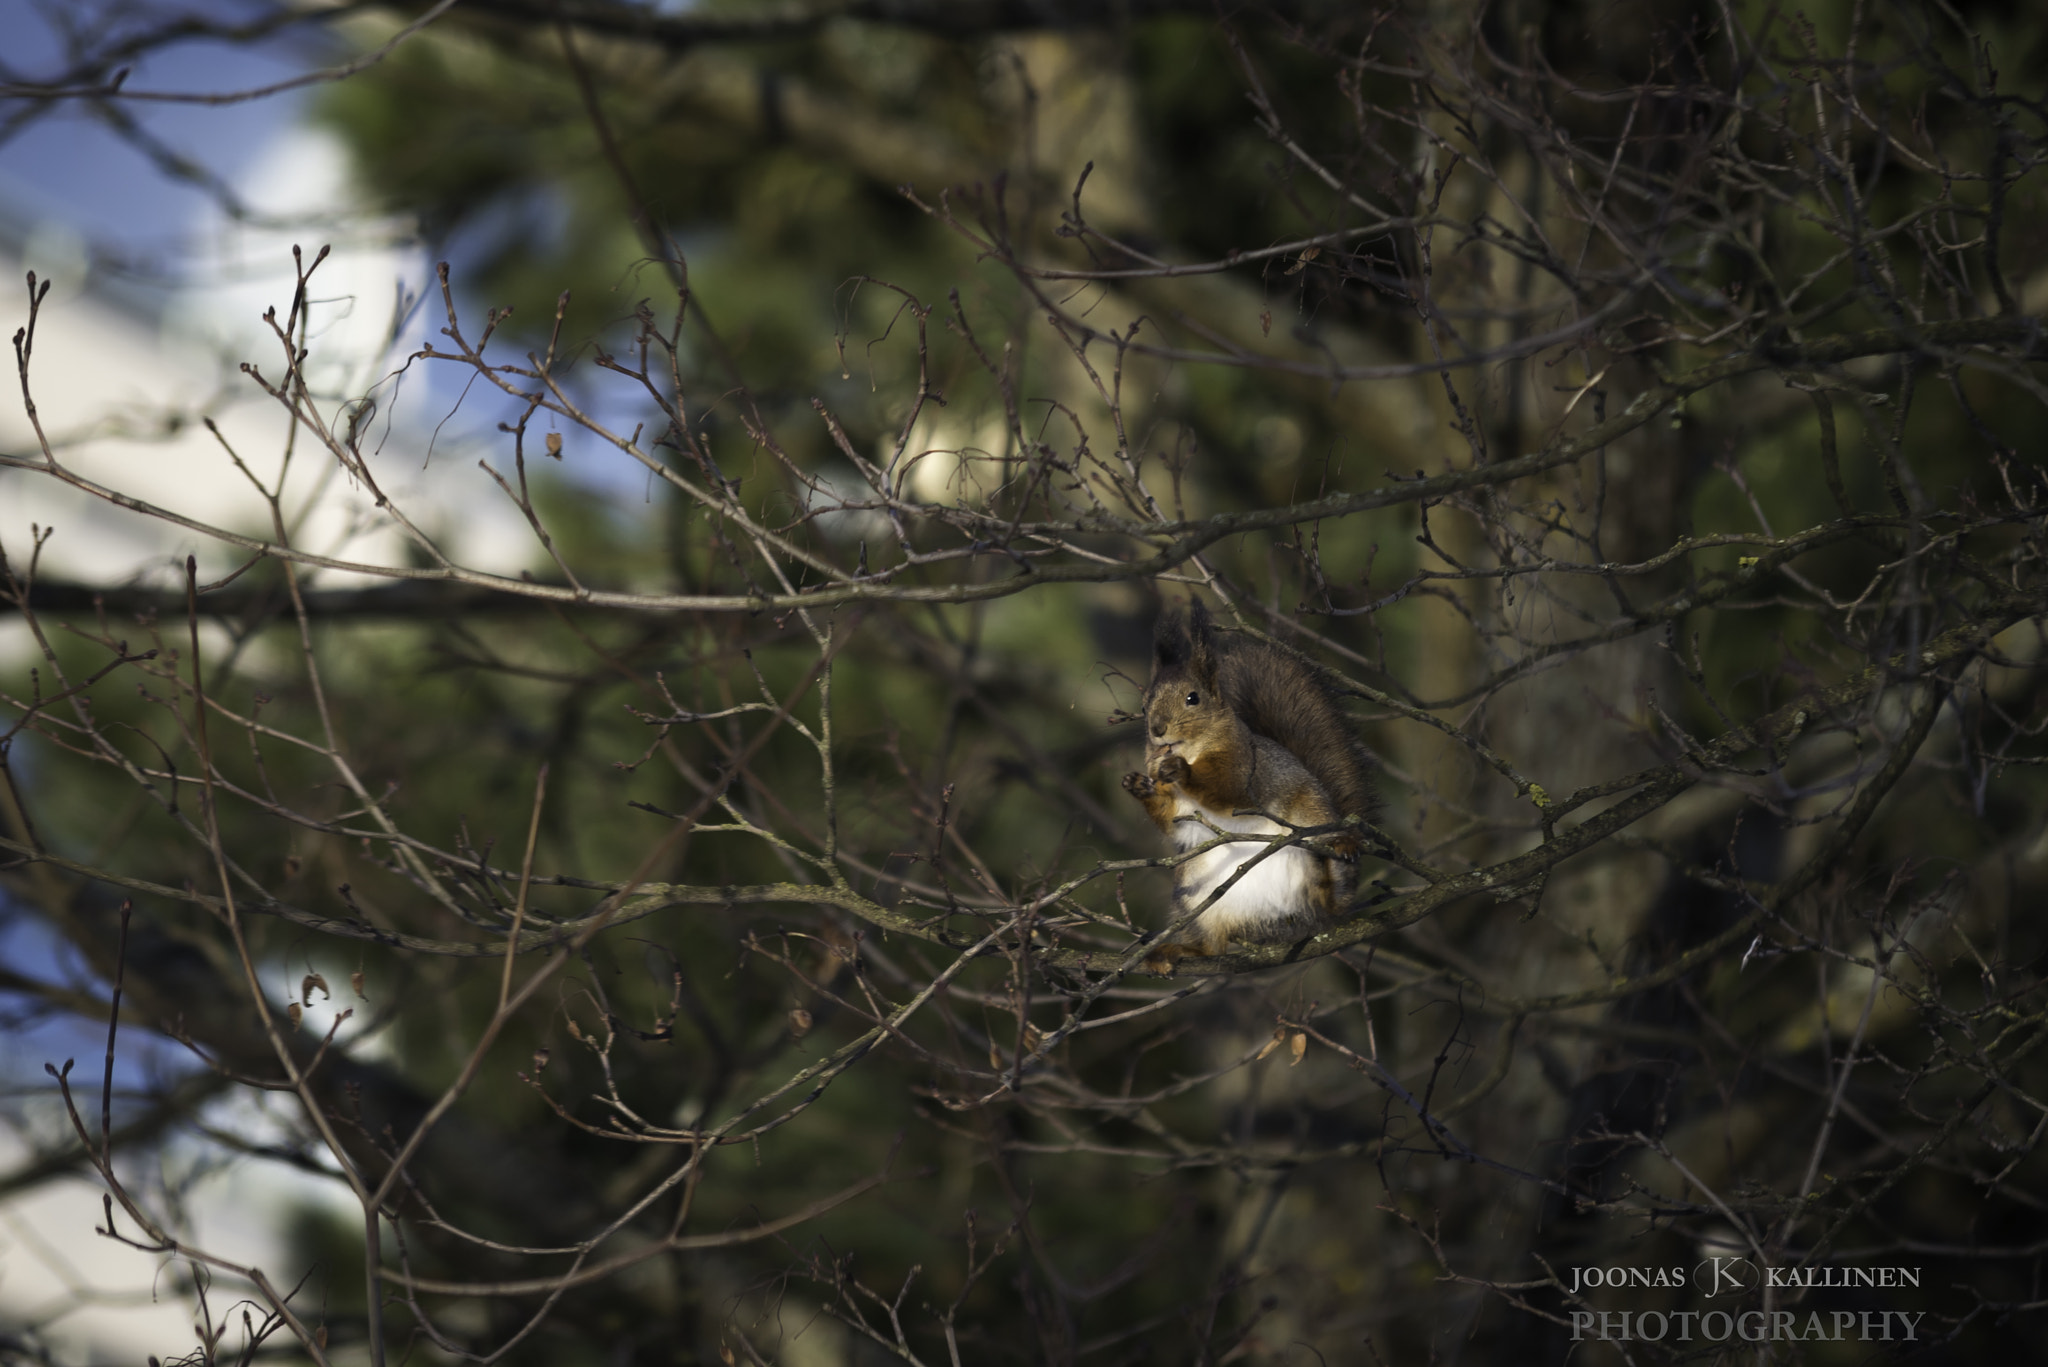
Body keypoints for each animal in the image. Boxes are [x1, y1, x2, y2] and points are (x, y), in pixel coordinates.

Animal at [1120, 600, 1379, 969]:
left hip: (1314, 819)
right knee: (1214, 947)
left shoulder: (1246, 767)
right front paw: (1138, 786)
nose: (1157, 730)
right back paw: (1178, 951)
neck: (1191, 749)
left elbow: (1230, 793)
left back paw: (1340, 852)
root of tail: (1285, 921)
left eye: (1192, 698)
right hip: (1196, 894)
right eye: (1143, 706)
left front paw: (1183, 771)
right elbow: (1170, 821)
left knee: (1330, 894)